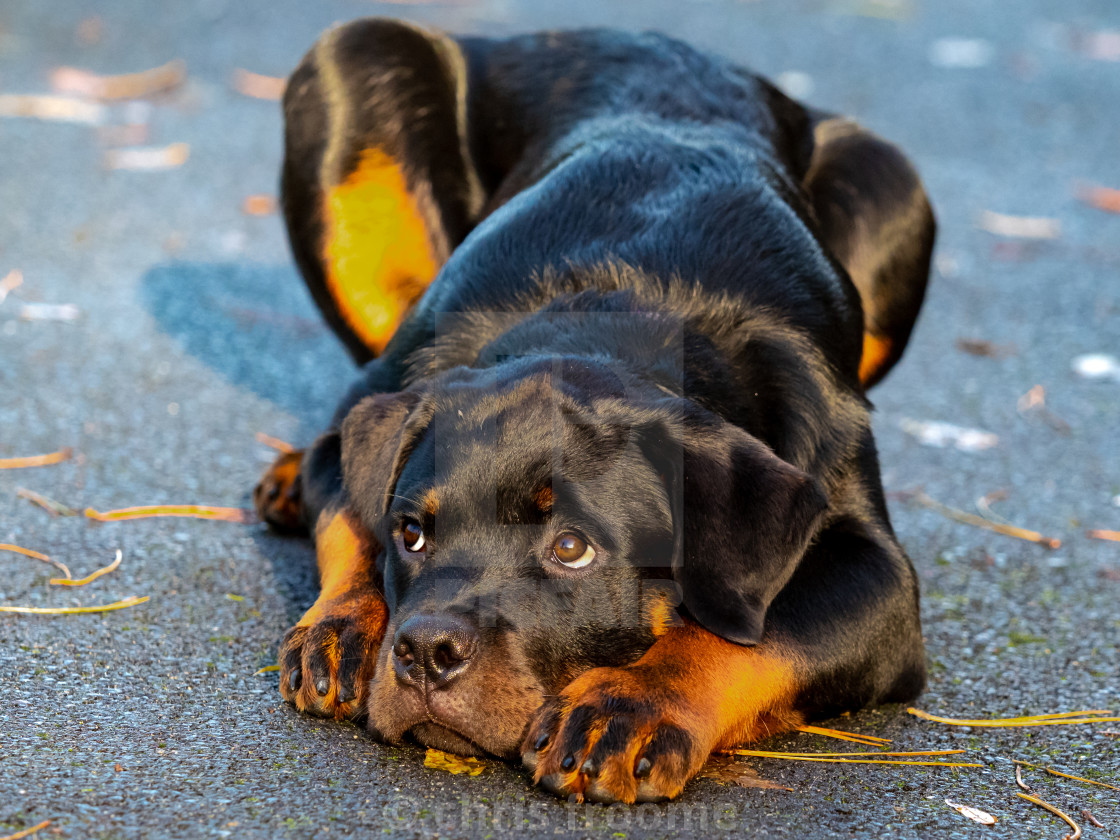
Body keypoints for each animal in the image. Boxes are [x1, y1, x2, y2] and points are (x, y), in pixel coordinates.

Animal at [256, 19, 936, 806]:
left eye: (573, 548)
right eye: (411, 534)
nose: (424, 650)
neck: (622, 303)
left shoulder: (876, 569)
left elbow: (757, 629)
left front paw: (630, 705)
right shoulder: (366, 413)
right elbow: (349, 512)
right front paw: (346, 623)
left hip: (894, 183)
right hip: (358, 55)